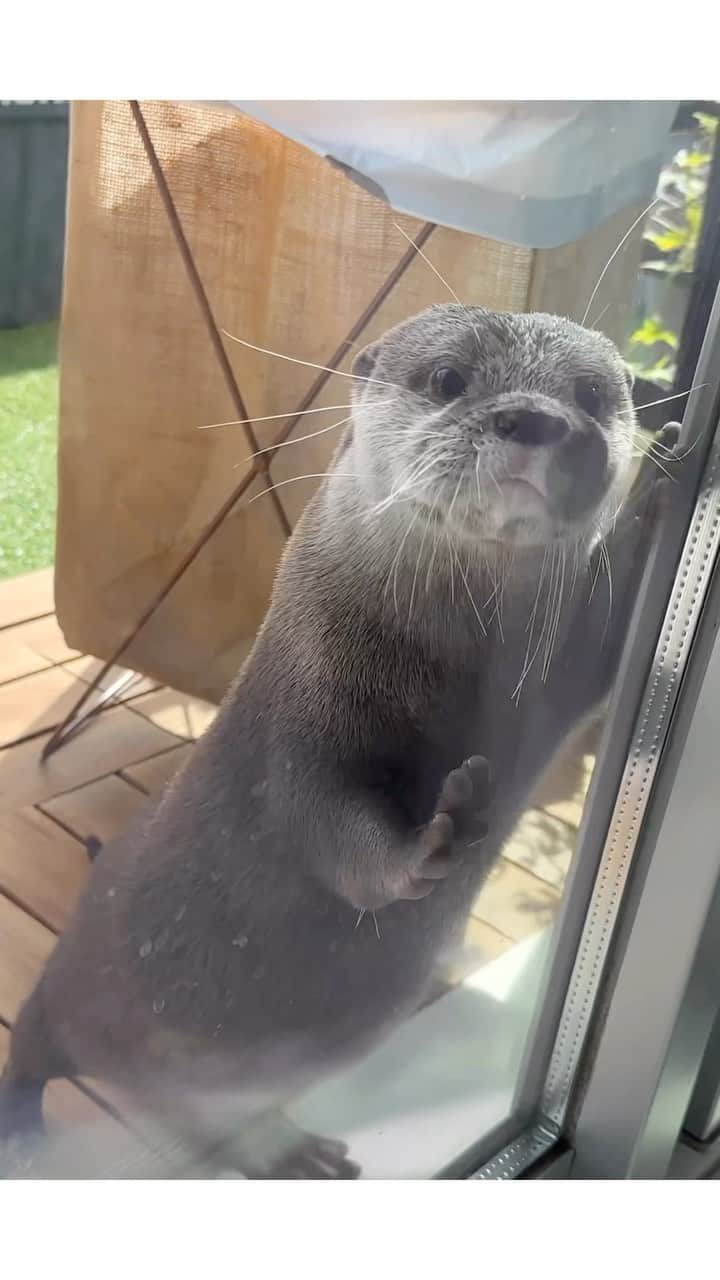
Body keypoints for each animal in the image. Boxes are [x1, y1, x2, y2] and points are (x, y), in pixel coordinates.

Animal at [0, 304, 671, 1172]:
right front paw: (432, 840)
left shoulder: (553, 679)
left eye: (592, 396)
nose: (535, 419)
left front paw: (658, 494)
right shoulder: (304, 708)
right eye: (448, 378)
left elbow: (607, 653)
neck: (450, 668)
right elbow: (331, 824)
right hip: (122, 1027)